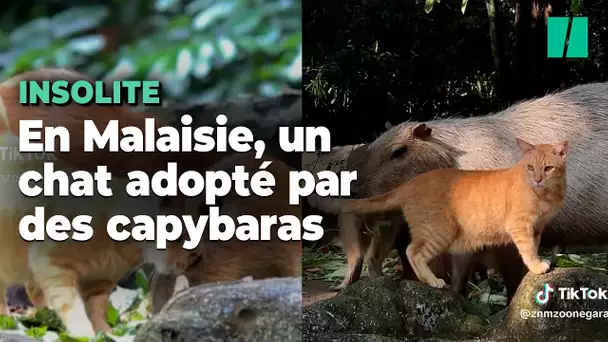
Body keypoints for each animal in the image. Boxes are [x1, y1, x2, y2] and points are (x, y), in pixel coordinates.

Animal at [326, 139, 568, 288]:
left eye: (548, 168)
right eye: (530, 167)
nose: (538, 179)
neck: (545, 194)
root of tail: (411, 183)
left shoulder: (537, 228)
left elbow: (534, 247)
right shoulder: (520, 226)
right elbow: (528, 250)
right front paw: (537, 267)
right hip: (440, 231)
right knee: (413, 251)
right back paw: (433, 281)